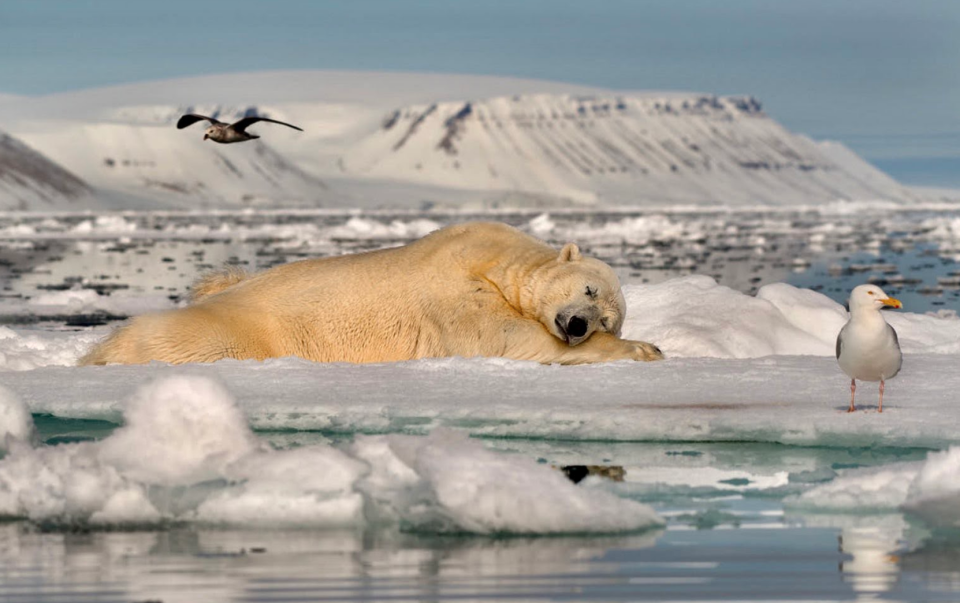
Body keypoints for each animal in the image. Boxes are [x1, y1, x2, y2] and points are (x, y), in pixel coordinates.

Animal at [80, 221, 660, 366]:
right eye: (588, 289)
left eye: (607, 316)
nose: (579, 324)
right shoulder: (456, 291)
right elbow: (506, 339)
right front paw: (648, 348)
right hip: (225, 333)